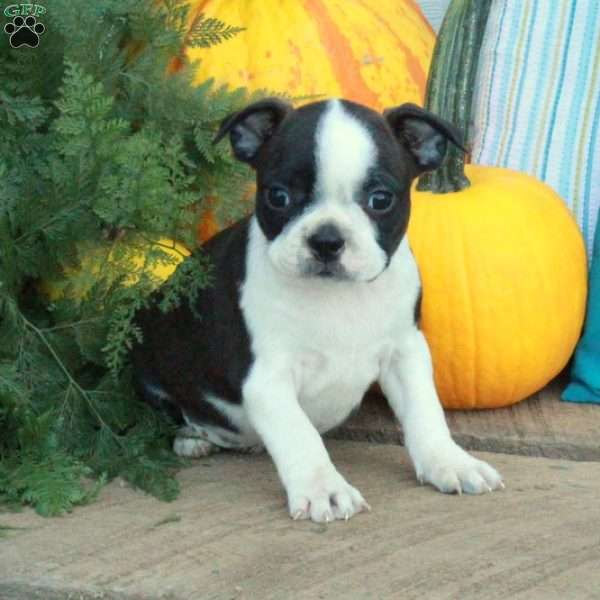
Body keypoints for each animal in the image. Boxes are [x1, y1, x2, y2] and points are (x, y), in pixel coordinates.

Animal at [130, 97, 502, 520]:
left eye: (380, 200)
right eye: (278, 196)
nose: (327, 239)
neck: (337, 296)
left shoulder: (406, 352)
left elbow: (426, 411)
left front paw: (450, 462)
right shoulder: (267, 377)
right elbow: (299, 433)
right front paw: (325, 488)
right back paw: (193, 437)